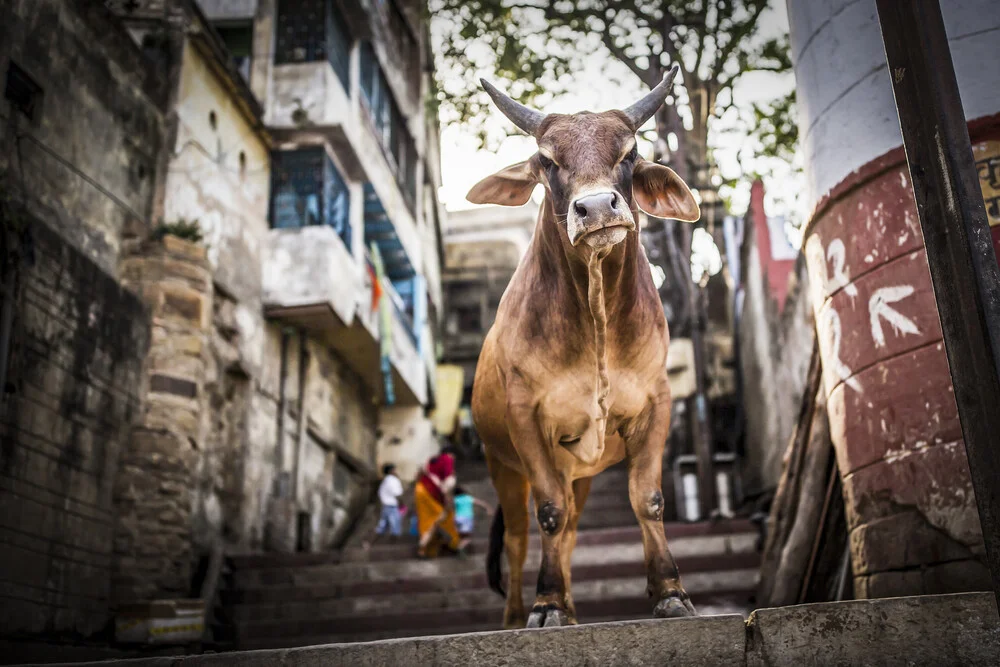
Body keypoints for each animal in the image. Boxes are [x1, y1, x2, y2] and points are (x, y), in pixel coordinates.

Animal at [470, 65, 700, 628]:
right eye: (548, 161)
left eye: (630, 152)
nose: (596, 208)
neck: (596, 320)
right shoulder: (526, 418)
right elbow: (548, 513)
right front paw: (546, 603)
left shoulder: (656, 402)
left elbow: (648, 499)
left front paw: (670, 592)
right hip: (502, 464)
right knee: (520, 537)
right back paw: (520, 614)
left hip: (581, 473)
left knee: (572, 528)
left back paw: (572, 608)